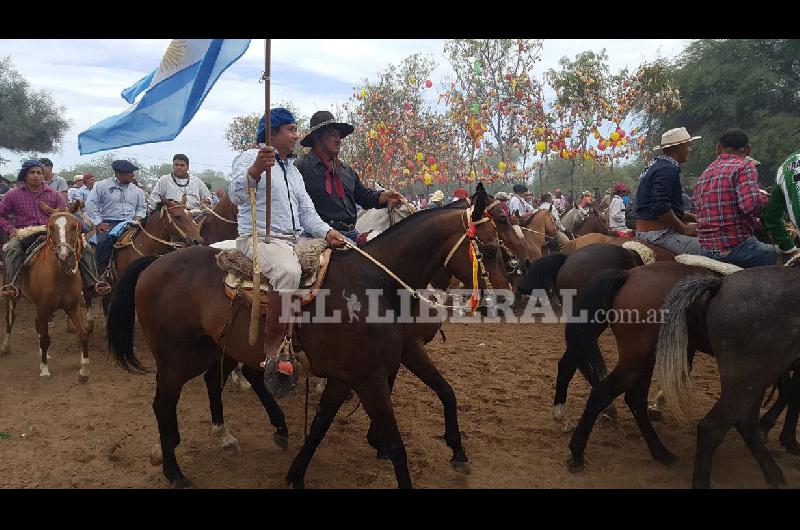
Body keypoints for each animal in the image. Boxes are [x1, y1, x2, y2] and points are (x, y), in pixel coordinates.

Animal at [0, 202, 91, 380]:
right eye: (51, 227)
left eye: (74, 226)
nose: (64, 255)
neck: (60, 276)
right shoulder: (43, 308)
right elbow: (46, 338)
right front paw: (44, 369)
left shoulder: (73, 306)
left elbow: (83, 334)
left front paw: (84, 370)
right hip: (11, 296)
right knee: (10, 319)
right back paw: (6, 346)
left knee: (37, 325)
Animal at [106, 189, 510, 486]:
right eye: (490, 249)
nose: (506, 298)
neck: (372, 283)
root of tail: (155, 264)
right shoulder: (370, 378)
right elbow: (397, 446)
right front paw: (383, 446)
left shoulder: (356, 374)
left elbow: (320, 425)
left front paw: (296, 474)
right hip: (176, 359)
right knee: (164, 404)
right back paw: (174, 471)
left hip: (211, 348)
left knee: (213, 381)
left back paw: (230, 436)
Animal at [652, 268, 800, 486]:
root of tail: (721, 284)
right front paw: (788, 439)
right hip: (747, 381)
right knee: (712, 428)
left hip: (754, 382)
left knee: (745, 423)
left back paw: (775, 475)